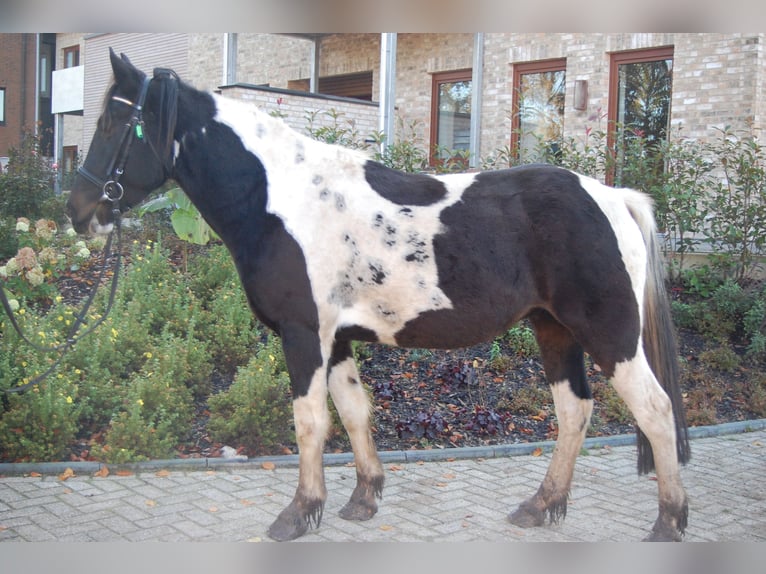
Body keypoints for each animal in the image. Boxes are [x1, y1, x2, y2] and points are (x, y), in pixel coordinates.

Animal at [64, 50, 688, 544]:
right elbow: (354, 412)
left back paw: (668, 522)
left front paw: (298, 513)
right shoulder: (336, 338)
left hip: (611, 335)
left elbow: (310, 422)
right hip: (553, 329)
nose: (78, 211)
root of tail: (613, 196)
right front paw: (362, 499)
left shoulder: (303, 334)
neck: (281, 200)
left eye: (115, 118)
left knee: (655, 412)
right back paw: (541, 505)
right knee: (574, 411)